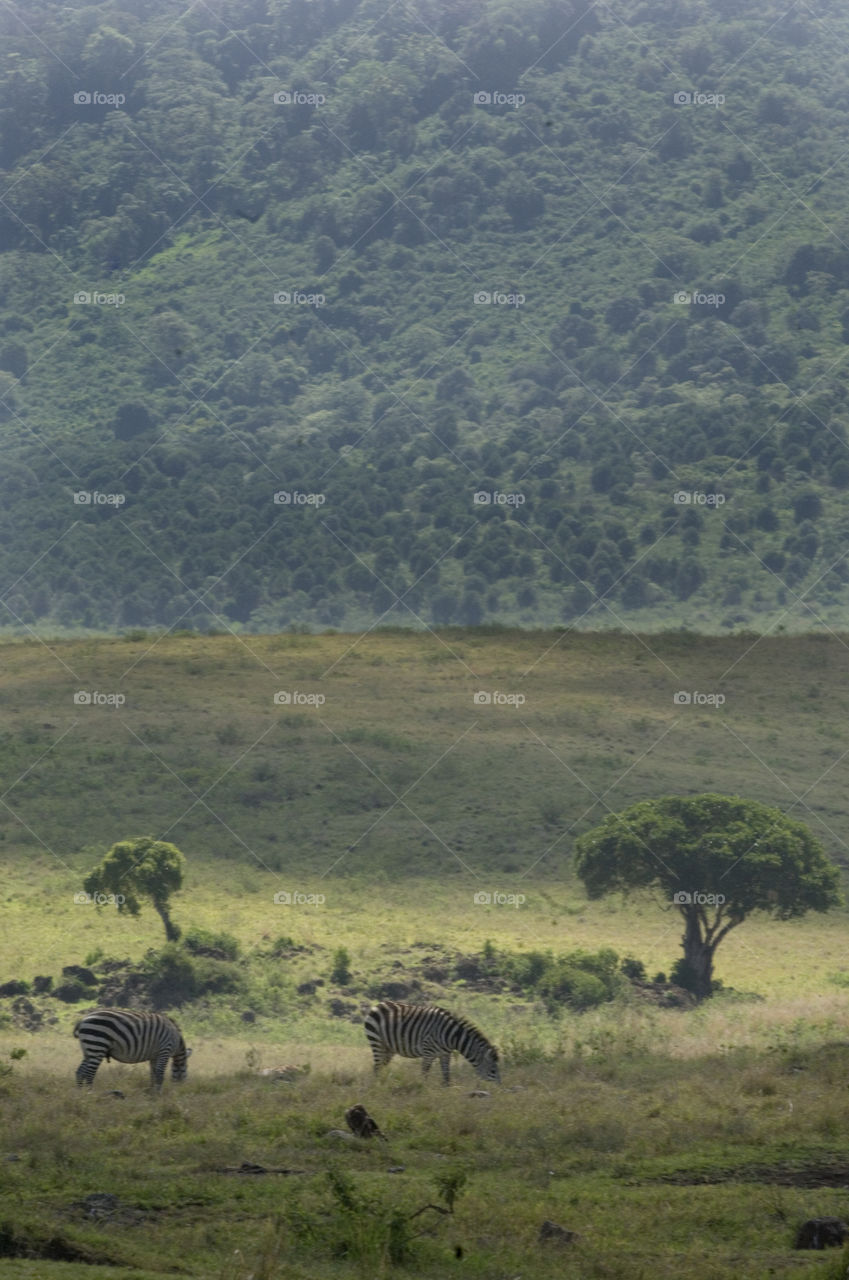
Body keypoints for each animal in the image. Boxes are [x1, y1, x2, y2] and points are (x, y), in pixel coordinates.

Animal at [363, 998, 499, 1080]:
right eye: (493, 1070)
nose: (498, 1091)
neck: (451, 1036)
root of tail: (378, 1005)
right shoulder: (428, 1052)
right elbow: (424, 1074)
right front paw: (423, 1091)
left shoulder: (445, 1054)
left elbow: (446, 1076)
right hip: (376, 1041)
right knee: (376, 1067)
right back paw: (378, 1086)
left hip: (389, 1048)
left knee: (380, 1067)